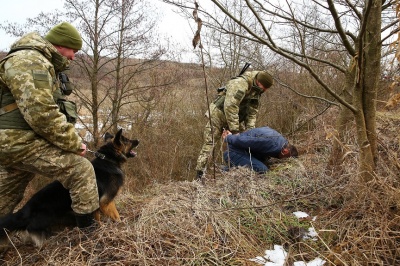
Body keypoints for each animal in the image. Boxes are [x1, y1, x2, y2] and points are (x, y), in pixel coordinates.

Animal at [0, 129, 139, 247]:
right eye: (127, 140)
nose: (138, 140)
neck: (108, 160)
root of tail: (25, 211)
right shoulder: (106, 202)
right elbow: (116, 216)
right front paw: (117, 227)